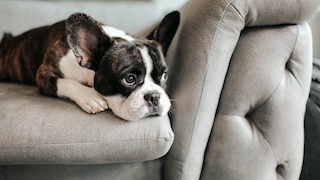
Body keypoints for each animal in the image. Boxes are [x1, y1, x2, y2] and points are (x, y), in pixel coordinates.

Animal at [0, 11, 180, 121]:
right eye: (129, 79)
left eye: (164, 76)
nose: (154, 96)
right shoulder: (44, 74)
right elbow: (66, 82)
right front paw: (90, 97)